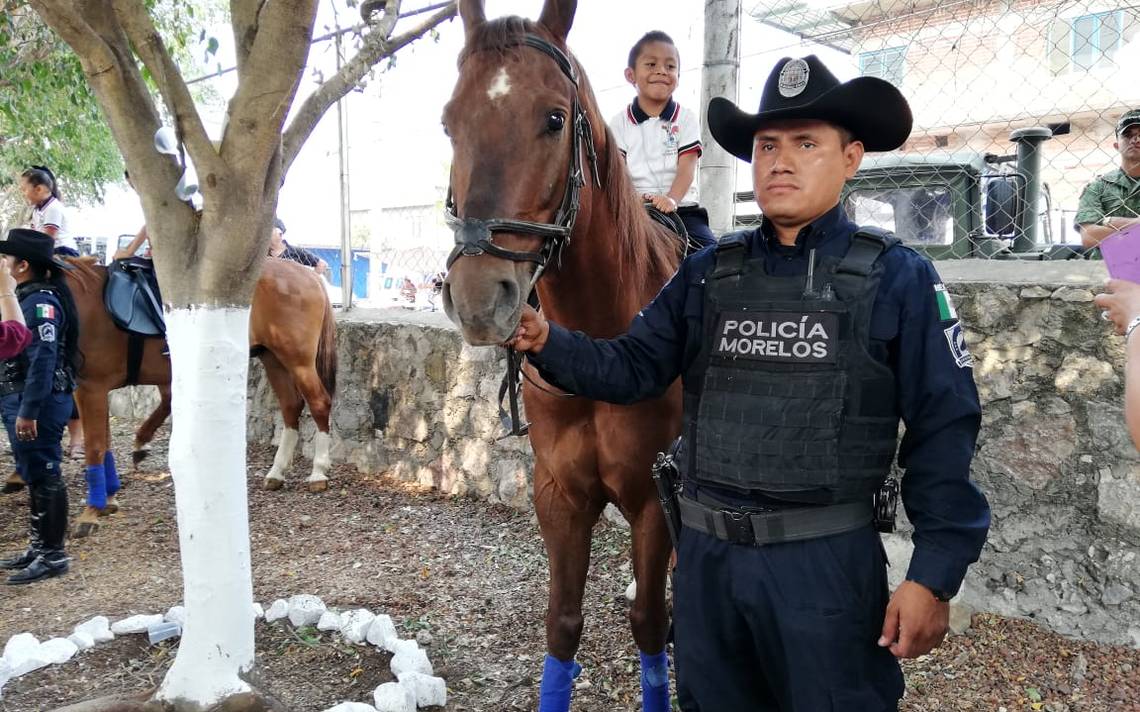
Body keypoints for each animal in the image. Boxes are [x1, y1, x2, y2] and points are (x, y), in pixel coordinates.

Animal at [64, 255, 335, 533]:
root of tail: (306, 273)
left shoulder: (92, 388)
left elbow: (96, 445)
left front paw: (90, 513)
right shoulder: (92, 390)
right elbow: (105, 442)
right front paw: (108, 499)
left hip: (297, 359)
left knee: (318, 403)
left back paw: (318, 472)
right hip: (272, 358)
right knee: (290, 405)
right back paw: (277, 472)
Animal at [440, 0, 679, 701]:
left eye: (554, 118)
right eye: (448, 124)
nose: (478, 298)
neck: (606, 344)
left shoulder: (652, 497)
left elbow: (650, 624)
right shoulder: (559, 496)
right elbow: (563, 624)